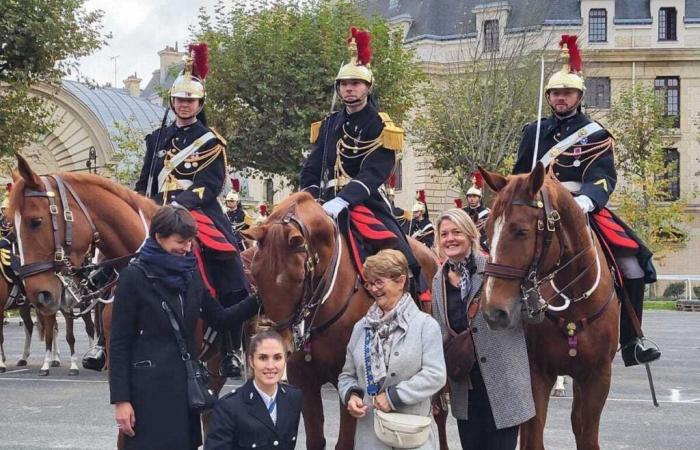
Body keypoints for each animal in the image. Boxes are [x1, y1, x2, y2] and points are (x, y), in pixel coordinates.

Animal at [243, 192, 446, 450]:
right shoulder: (304, 381)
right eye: (256, 275)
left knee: (440, 414)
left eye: (298, 278)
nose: (279, 346)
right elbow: (315, 440)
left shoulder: (350, 380)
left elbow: (345, 442)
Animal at [482, 163, 616, 450]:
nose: (493, 312)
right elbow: (533, 438)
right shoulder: (536, 374)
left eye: (521, 231)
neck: (575, 302)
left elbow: (587, 437)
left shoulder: (597, 377)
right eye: (486, 232)